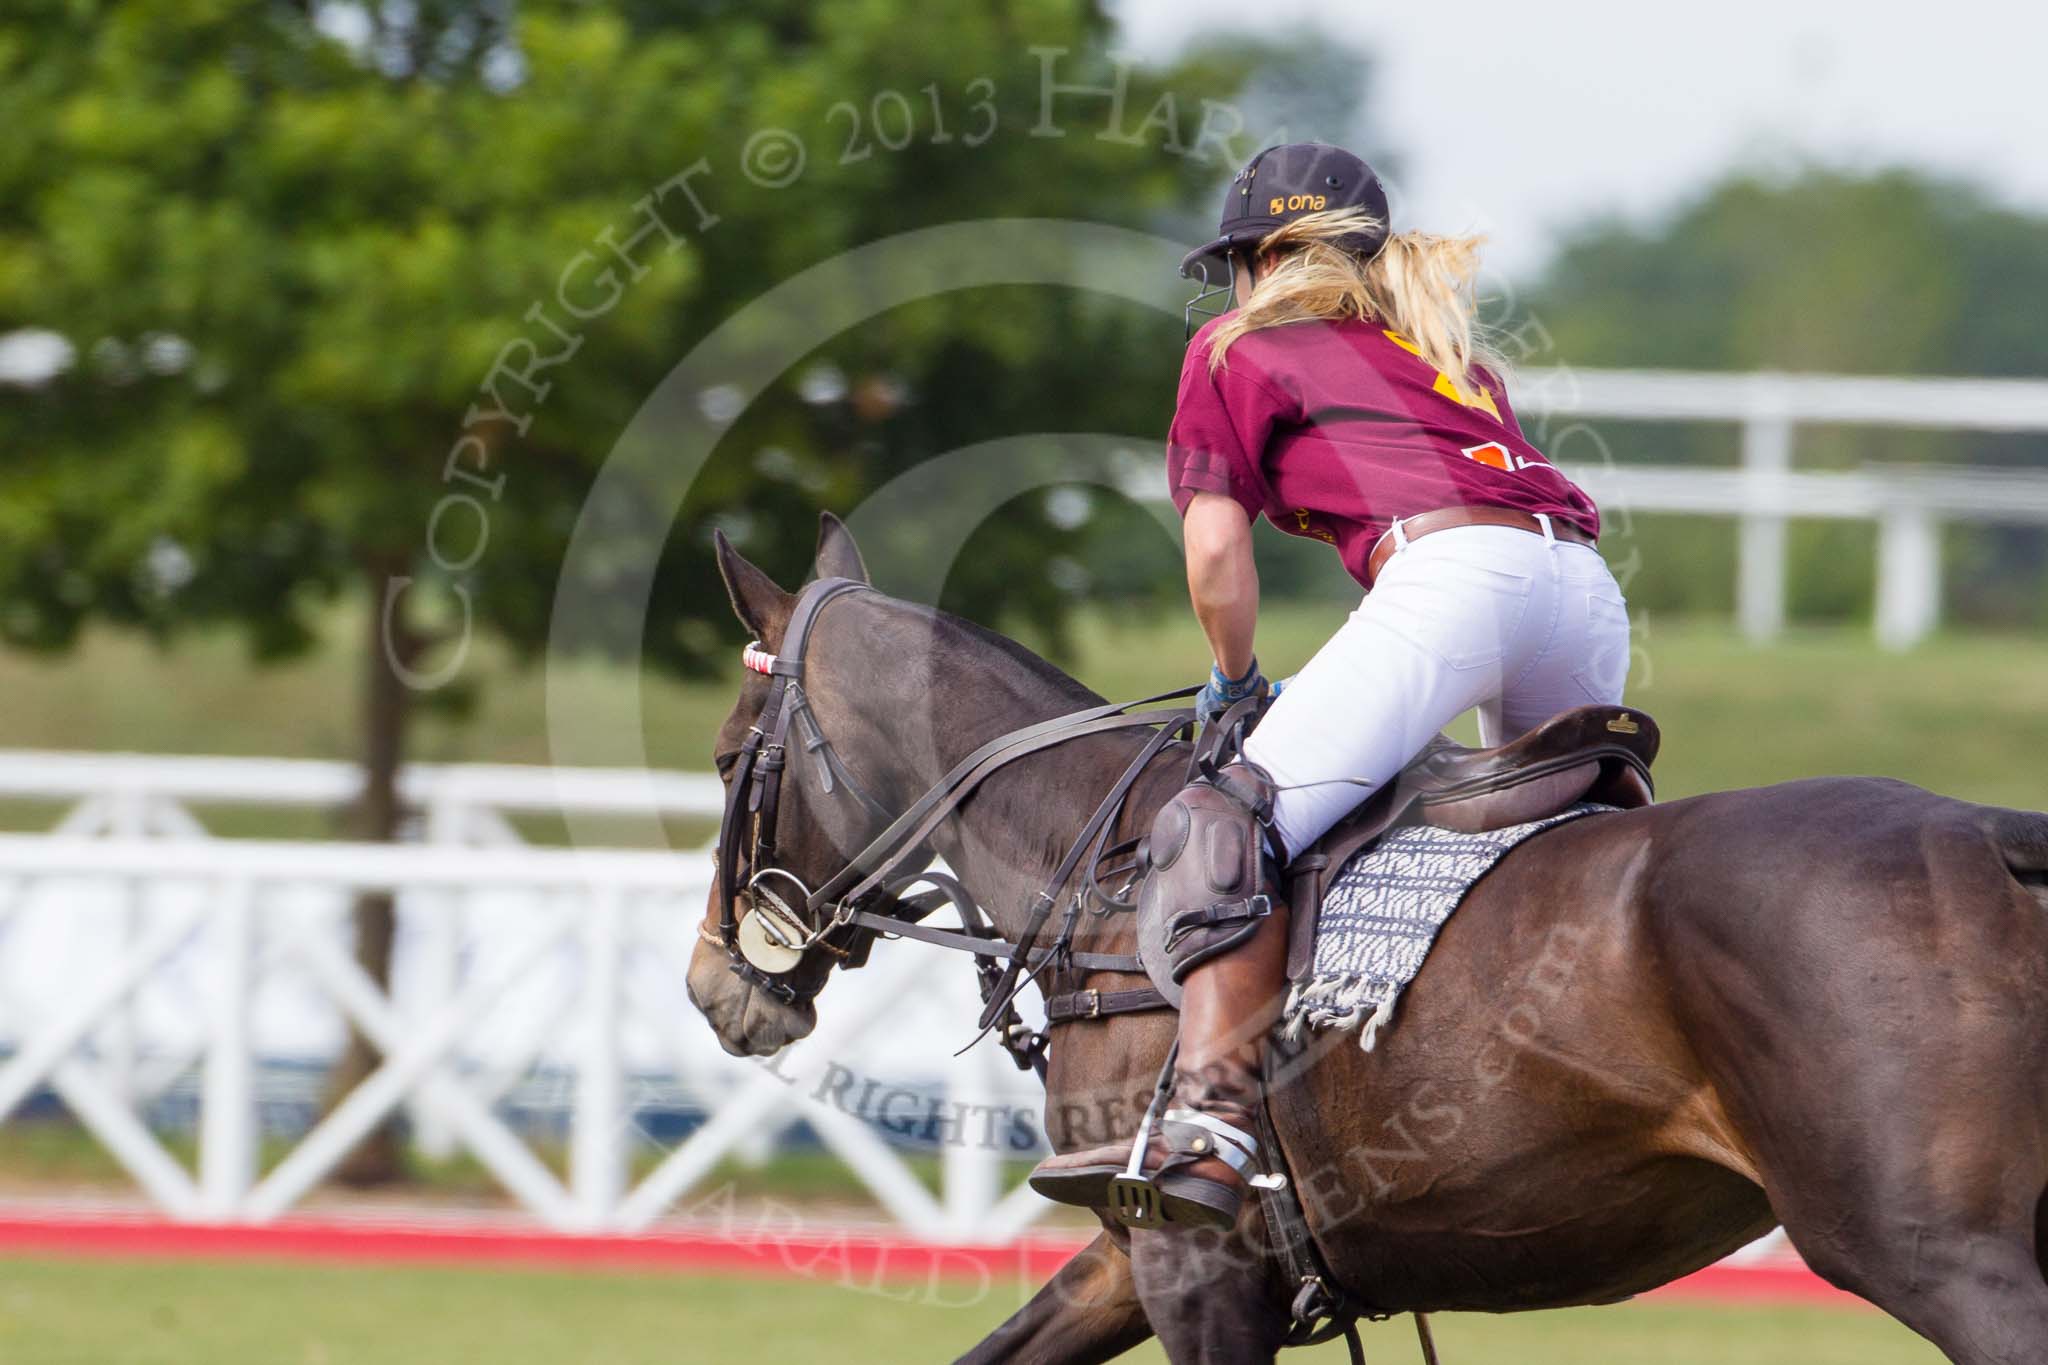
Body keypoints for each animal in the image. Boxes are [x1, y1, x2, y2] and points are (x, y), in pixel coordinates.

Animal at [684, 517, 2048, 1358]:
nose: (712, 988)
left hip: (1934, 1252)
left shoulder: (1193, 1264)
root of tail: (1985, 833)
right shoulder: (1135, 1251)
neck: (1097, 867)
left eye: (725, 757)